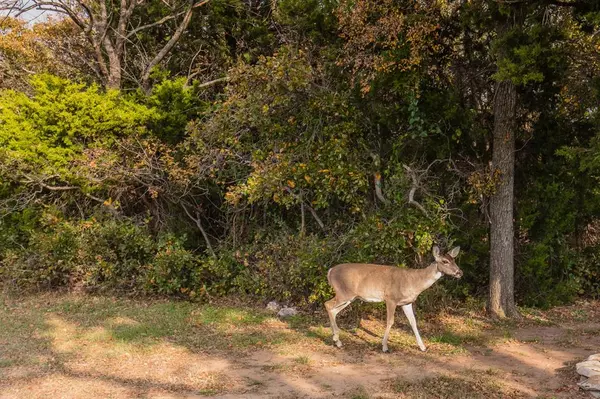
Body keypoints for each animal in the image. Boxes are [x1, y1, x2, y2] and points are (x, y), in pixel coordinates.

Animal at [326, 247, 462, 354]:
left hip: (350, 297)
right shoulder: (391, 298)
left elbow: (413, 322)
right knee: (328, 304)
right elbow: (390, 321)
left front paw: (423, 347)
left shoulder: (407, 302)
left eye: (454, 260)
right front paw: (385, 347)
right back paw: (336, 340)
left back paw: (336, 340)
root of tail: (330, 271)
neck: (414, 282)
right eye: (445, 261)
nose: (460, 272)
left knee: (333, 310)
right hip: (344, 293)